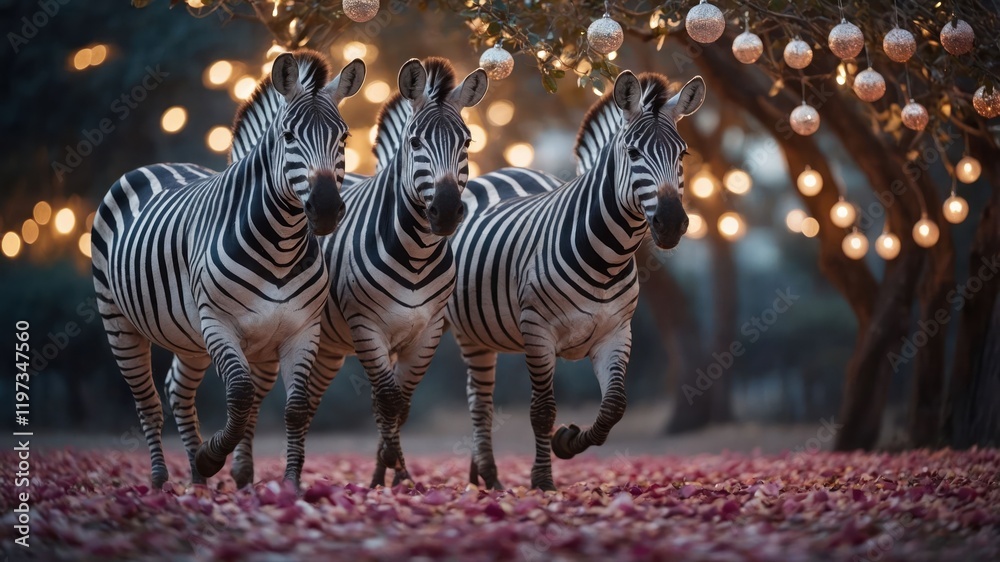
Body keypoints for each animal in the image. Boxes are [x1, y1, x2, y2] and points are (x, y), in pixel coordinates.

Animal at [91, 51, 365, 489]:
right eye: (288, 136)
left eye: (344, 138)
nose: (325, 209)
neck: (281, 245)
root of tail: (154, 166)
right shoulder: (218, 324)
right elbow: (240, 394)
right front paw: (210, 458)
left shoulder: (302, 329)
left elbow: (296, 407)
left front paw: (290, 483)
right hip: (119, 322)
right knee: (148, 402)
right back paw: (161, 480)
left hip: (188, 337)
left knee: (177, 390)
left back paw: (196, 482)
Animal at [446, 71, 705, 490]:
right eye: (633, 153)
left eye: (682, 154)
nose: (671, 223)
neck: (608, 258)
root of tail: (505, 171)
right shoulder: (538, 331)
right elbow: (542, 411)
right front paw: (542, 480)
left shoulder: (616, 333)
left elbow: (615, 406)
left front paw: (567, 441)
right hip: (464, 331)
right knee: (478, 402)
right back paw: (484, 476)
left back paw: (480, 475)